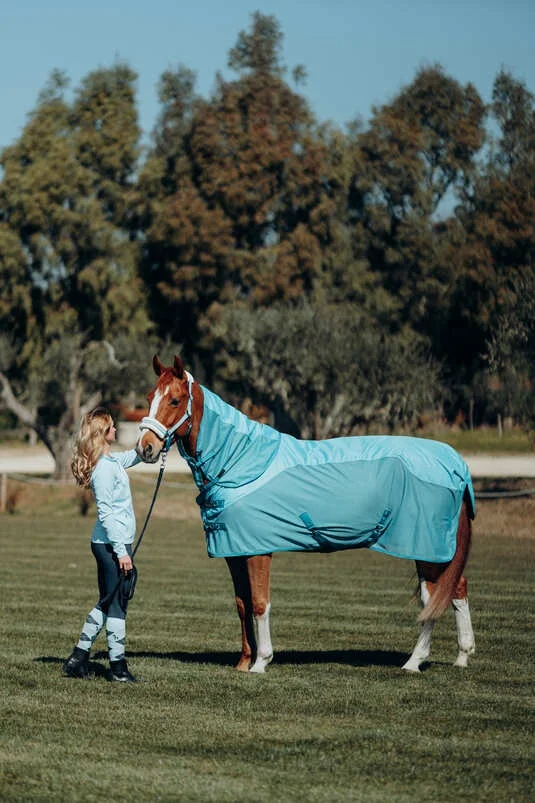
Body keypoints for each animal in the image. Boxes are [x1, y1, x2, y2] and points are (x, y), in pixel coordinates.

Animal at [136, 355, 476, 675]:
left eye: (175, 400)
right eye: (150, 396)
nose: (145, 448)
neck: (240, 462)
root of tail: (455, 463)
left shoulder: (258, 551)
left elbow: (260, 603)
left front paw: (261, 662)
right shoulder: (234, 551)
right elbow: (242, 604)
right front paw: (243, 662)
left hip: (426, 548)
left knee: (432, 600)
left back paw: (414, 661)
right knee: (456, 589)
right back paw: (461, 656)